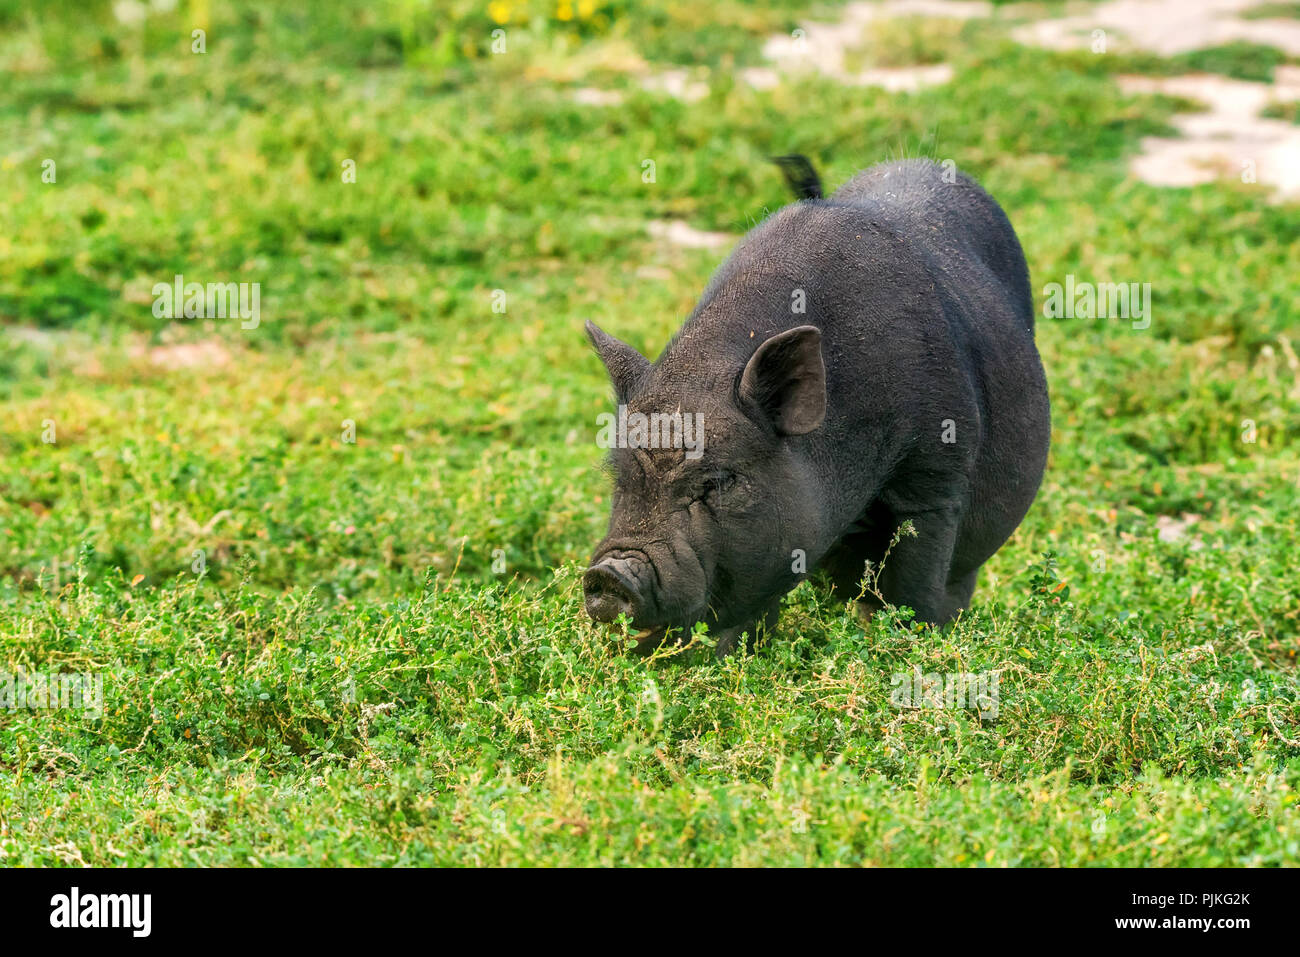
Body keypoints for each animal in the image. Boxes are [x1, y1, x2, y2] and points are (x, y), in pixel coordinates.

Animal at [583, 156, 1050, 656]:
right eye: (620, 476)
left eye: (719, 481)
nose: (608, 574)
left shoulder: (938, 473)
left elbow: (915, 582)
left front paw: (909, 646)